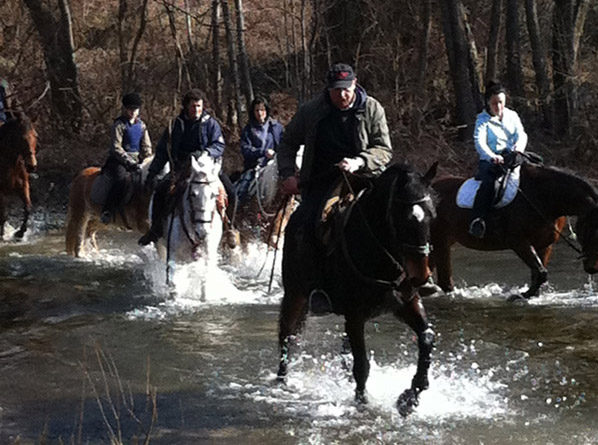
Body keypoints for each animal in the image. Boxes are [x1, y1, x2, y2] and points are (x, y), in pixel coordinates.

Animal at [0, 110, 38, 239]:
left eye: (36, 136)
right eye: (22, 138)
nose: (32, 166)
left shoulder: (23, 186)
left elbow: (28, 208)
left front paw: (20, 233)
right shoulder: (2, 191)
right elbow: (3, 215)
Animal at [278, 163, 438, 416]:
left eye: (432, 215)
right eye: (403, 218)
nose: (420, 276)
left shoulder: (405, 303)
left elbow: (426, 337)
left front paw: (410, 397)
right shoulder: (355, 315)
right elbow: (362, 364)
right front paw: (362, 402)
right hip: (295, 294)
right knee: (287, 333)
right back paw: (282, 380)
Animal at [434, 155, 598, 298]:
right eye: (591, 230)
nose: (592, 268)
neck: (543, 198)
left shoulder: (545, 245)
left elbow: (537, 274)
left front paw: (531, 295)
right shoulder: (519, 243)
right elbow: (541, 273)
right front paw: (521, 296)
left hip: (446, 240)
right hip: (439, 239)